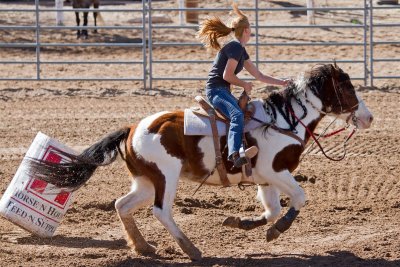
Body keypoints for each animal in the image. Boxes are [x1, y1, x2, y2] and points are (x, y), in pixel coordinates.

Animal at [27, 63, 372, 260]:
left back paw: (144, 248)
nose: (368, 117)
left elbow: (272, 209)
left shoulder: (265, 178)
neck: (283, 120)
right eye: (346, 87)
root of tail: (132, 128)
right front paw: (278, 230)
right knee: (160, 211)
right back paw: (191, 249)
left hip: (146, 180)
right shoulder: (274, 170)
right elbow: (299, 197)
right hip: (166, 176)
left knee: (122, 205)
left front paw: (244, 223)